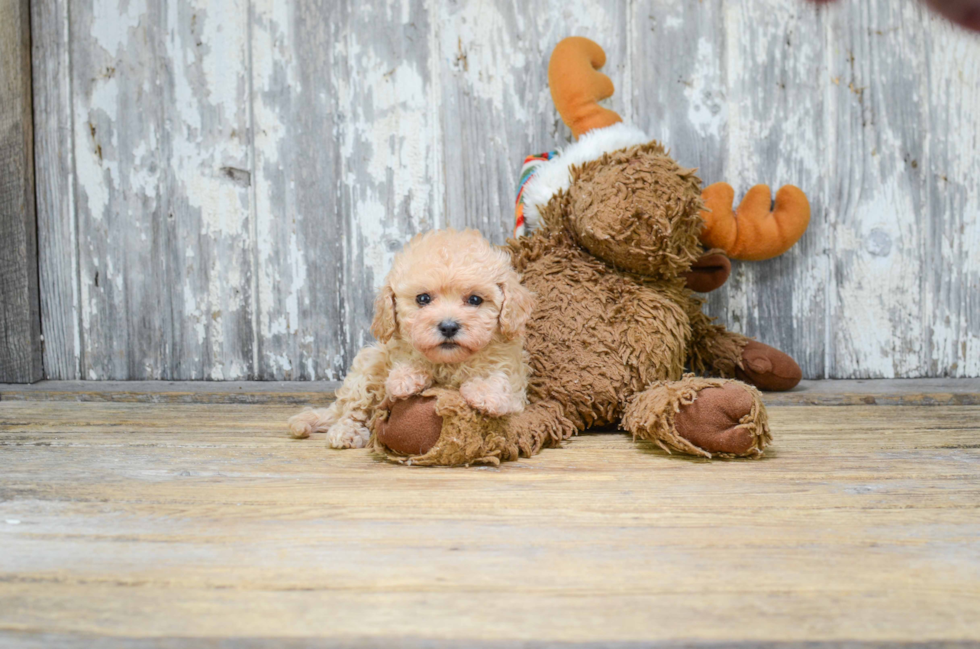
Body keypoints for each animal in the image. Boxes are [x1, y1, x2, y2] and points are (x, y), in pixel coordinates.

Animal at [288, 230, 532, 448]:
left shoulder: (515, 384)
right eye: (422, 299)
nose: (448, 326)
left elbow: (499, 378)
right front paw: (406, 377)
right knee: (354, 410)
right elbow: (408, 360)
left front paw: (485, 392)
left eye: (475, 299)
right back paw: (346, 432)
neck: (449, 363)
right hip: (367, 368)